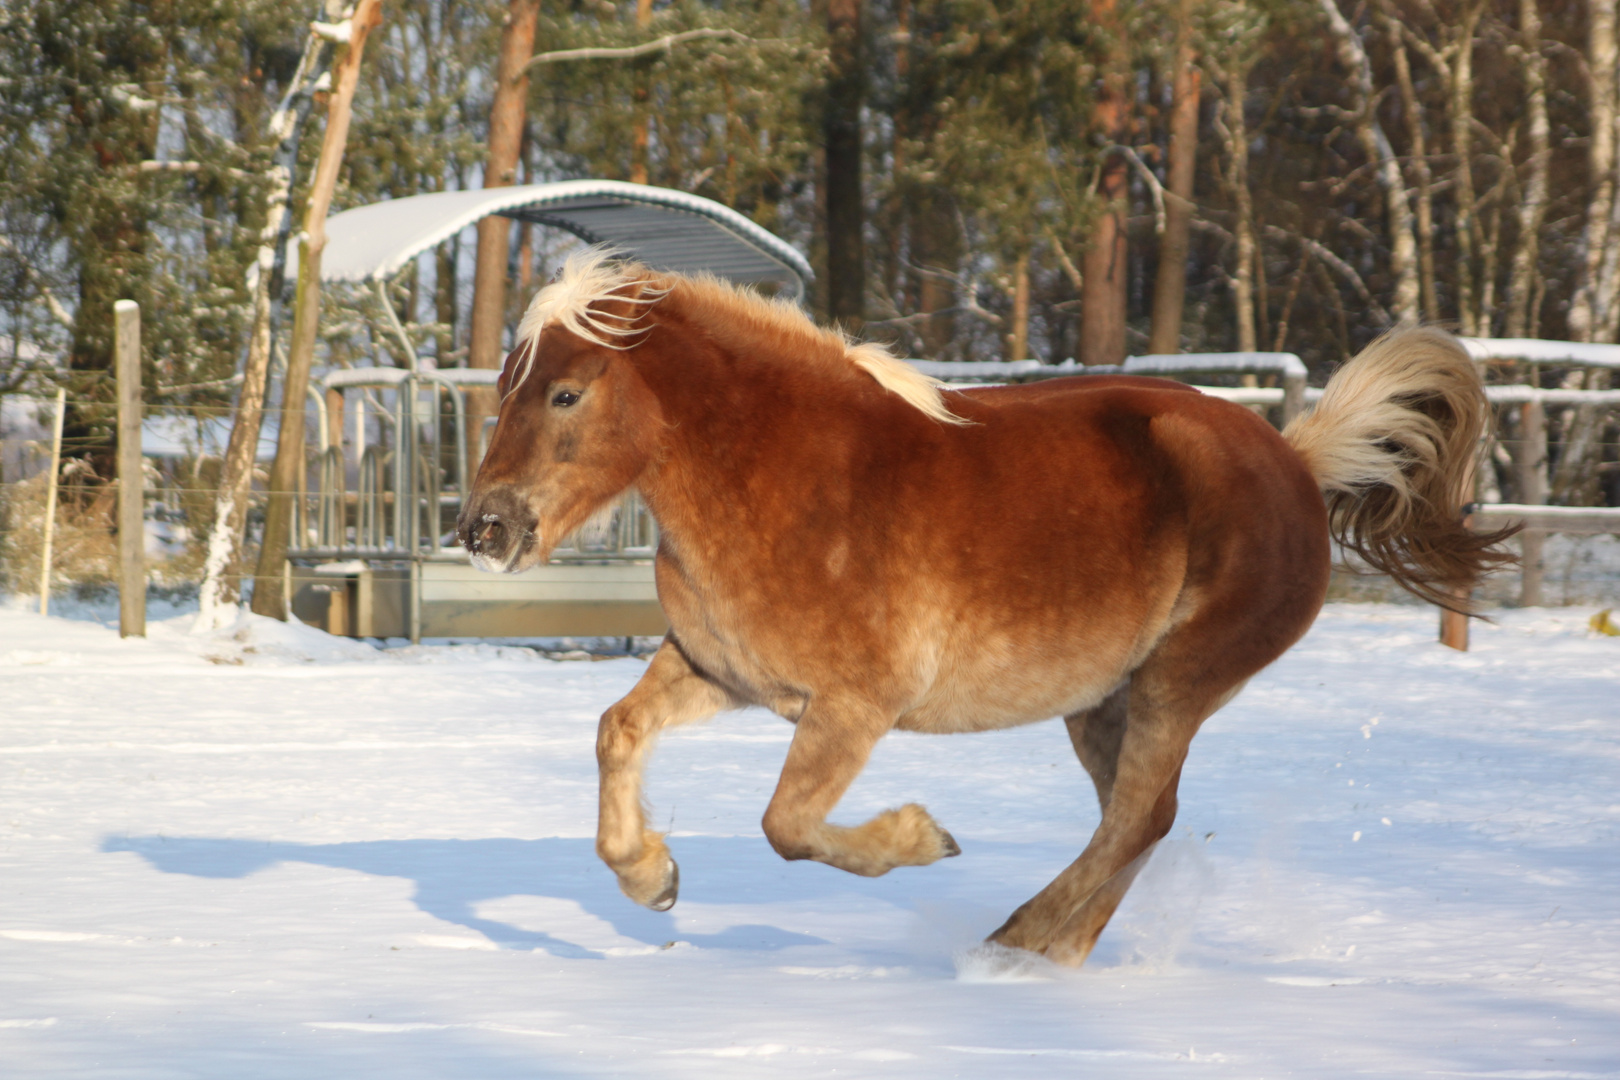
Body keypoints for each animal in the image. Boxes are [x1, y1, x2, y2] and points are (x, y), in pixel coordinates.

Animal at [460, 249, 1516, 965]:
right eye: (506, 387)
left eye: (563, 394)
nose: (484, 529)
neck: (784, 477)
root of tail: (1296, 461)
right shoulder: (722, 671)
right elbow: (617, 731)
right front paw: (653, 880)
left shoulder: (855, 707)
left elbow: (788, 826)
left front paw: (924, 838)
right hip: (1102, 704)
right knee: (1141, 821)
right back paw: (1054, 954)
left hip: (1177, 682)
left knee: (1136, 821)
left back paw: (1011, 947)